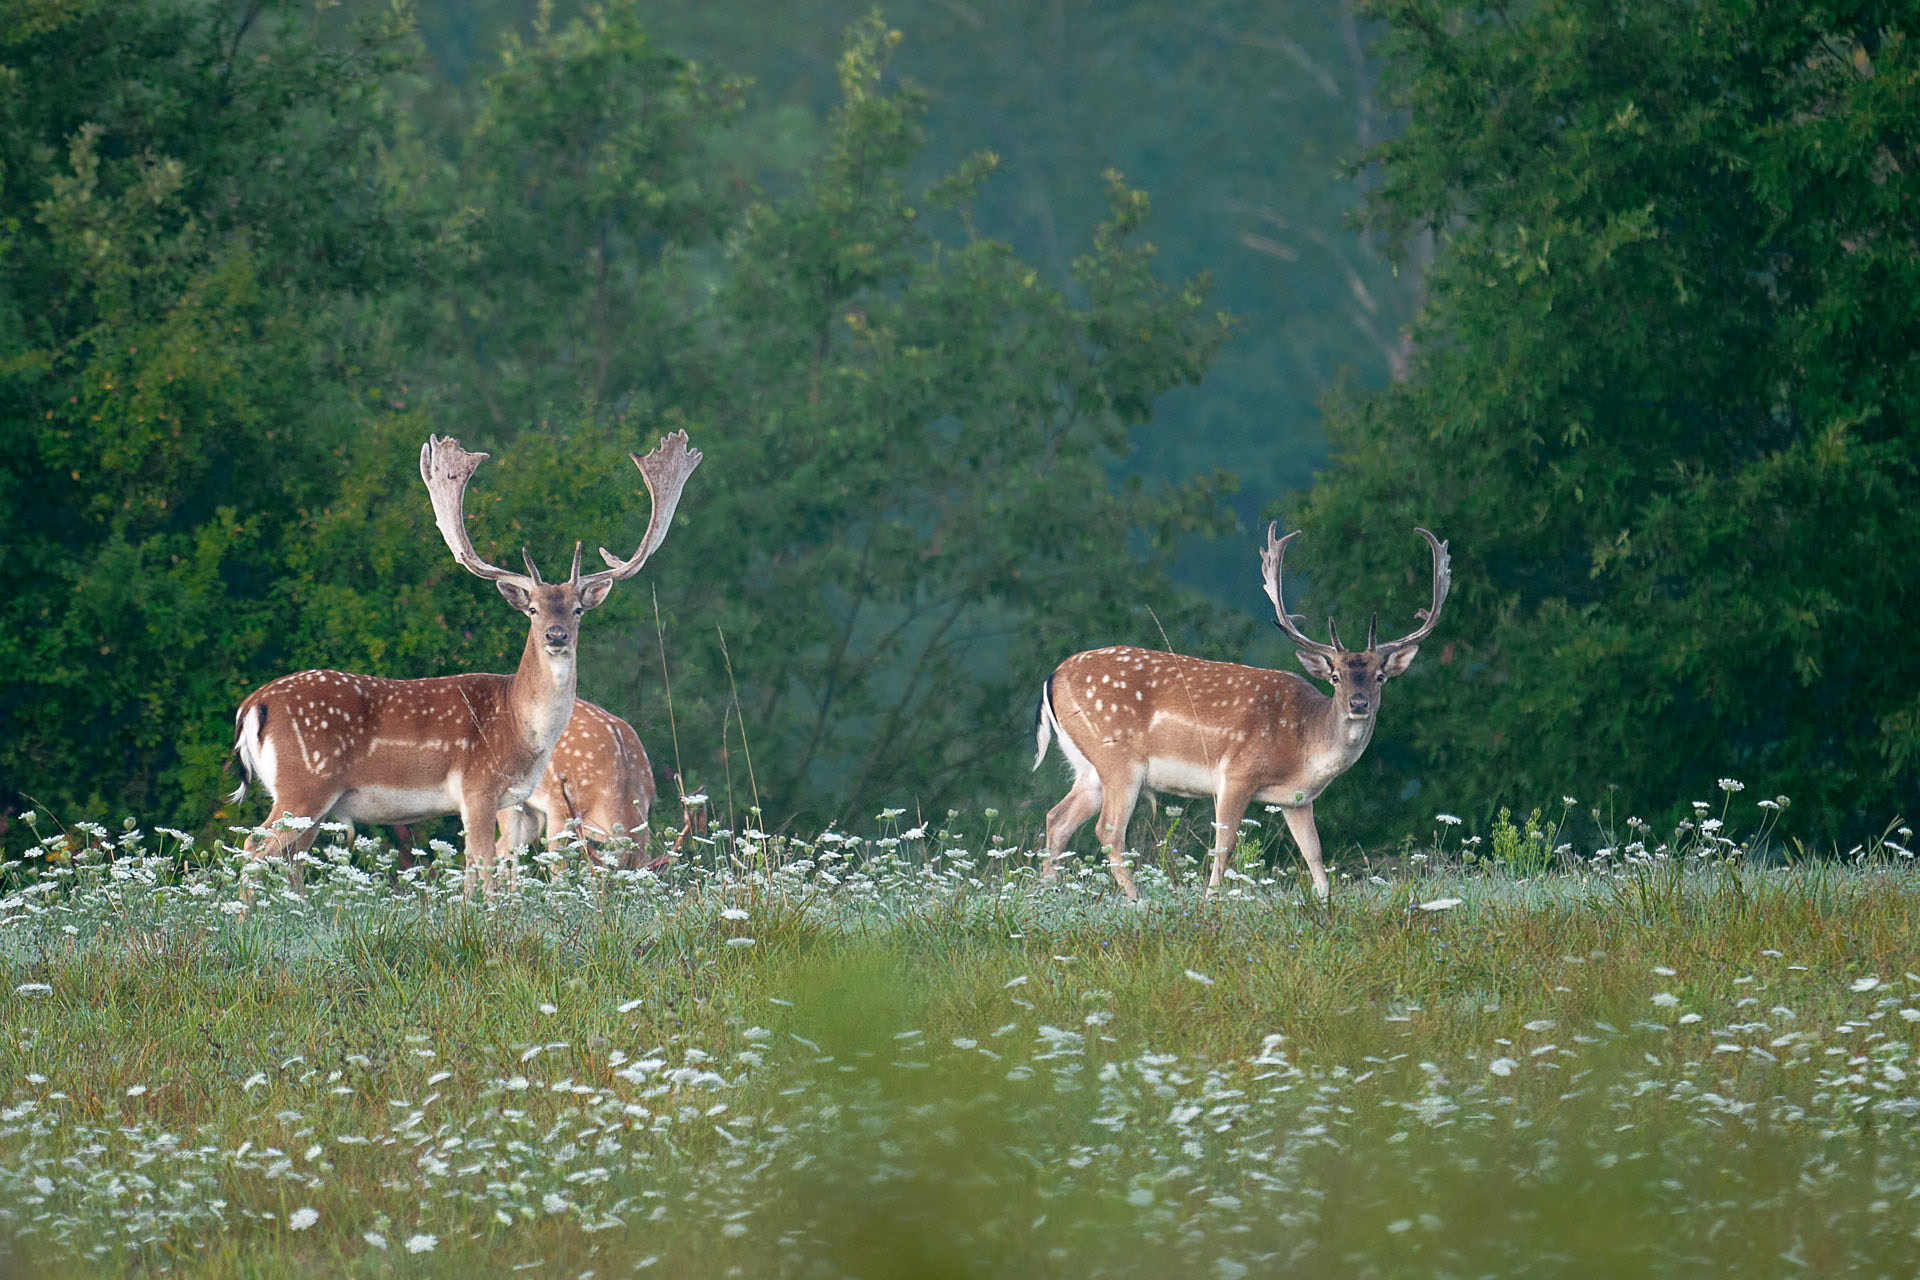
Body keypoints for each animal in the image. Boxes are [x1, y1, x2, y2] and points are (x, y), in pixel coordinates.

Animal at [227, 431, 701, 893]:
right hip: (305, 784)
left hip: (307, 802)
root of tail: (253, 705)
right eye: (532, 609)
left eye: (578, 609)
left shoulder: (513, 802)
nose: (556, 636)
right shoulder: (479, 788)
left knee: (289, 862)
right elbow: (486, 874)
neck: (518, 722)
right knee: (253, 848)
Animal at [1032, 523, 1449, 901]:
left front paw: (1325, 902)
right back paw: (1137, 899)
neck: (1304, 744)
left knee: (1057, 818)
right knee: (1109, 831)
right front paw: (1212, 898)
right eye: (1335, 676)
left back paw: (1050, 892)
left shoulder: (1296, 799)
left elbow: (1314, 854)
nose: (1358, 703)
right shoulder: (1236, 772)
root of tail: (1052, 677)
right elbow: (1225, 845)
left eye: (1380, 676)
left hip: (1088, 767)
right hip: (1119, 757)